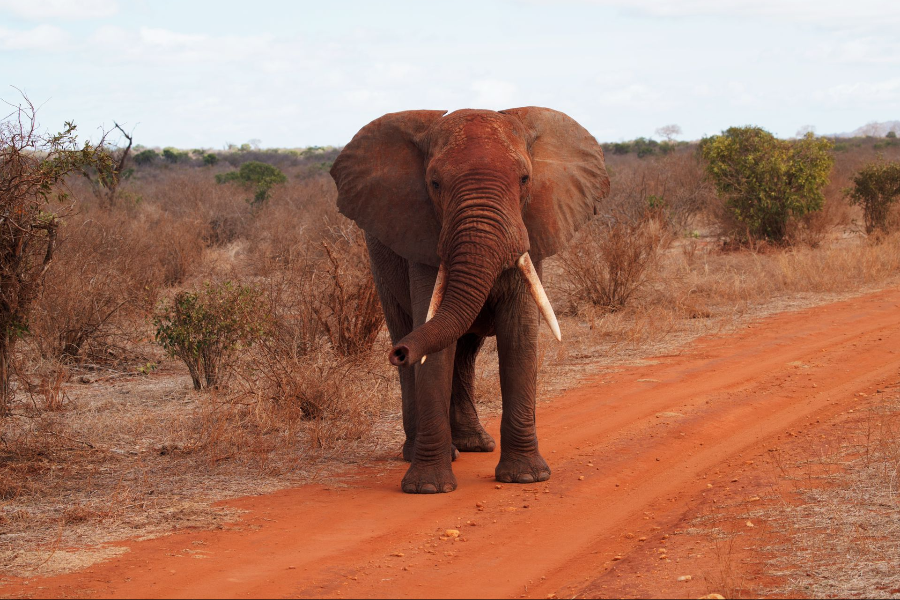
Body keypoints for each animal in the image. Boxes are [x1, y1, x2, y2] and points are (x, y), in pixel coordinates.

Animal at [330, 108, 612, 492]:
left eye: (525, 179)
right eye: (434, 184)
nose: (400, 353)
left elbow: (519, 336)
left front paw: (526, 477)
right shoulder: (421, 236)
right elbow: (432, 341)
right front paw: (428, 488)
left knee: (465, 350)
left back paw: (473, 444)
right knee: (412, 330)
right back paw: (426, 450)